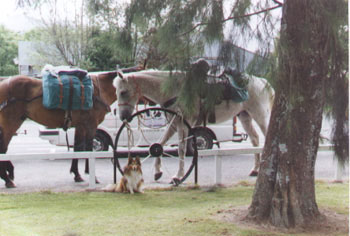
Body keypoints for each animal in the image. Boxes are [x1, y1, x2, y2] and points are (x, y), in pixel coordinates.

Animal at [0, 66, 142, 188]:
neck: (98, 90)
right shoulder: (91, 125)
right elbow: (89, 149)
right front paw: (92, 175)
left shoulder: (81, 126)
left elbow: (78, 148)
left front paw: (77, 174)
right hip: (11, 124)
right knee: (3, 150)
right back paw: (7, 179)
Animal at [113, 69, 274, 183]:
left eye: (123, 92)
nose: (123, 117)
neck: (175, 90)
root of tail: (262, 82)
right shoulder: (174, 123)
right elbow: (160, 144)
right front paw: (158, 172)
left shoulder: (184, 124)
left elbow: (181, 149)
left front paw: (178, 176)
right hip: (245, 116)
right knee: (255, 139)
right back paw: (255, 170)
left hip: (260, 115)